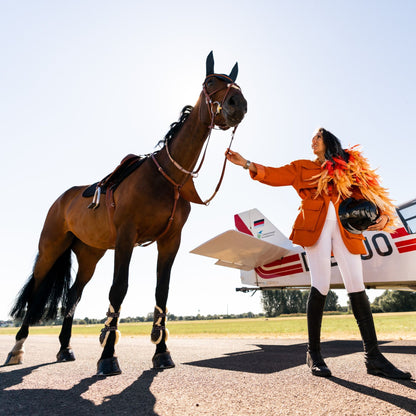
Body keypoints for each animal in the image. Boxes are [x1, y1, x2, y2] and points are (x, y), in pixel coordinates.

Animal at [4, 50, 247, 376]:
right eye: (210, 81)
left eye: (236, 82)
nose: (238, 103)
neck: (167, 178)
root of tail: (61, 200)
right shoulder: (126, 237)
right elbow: (118, 289)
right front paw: (108, 355)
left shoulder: (170, 240)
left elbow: (161, 292)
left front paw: (162, 351)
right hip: (51, 249)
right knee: (35, 294)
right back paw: (17, 349)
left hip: (89, 255)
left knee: (72, 296)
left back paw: (65, 348)